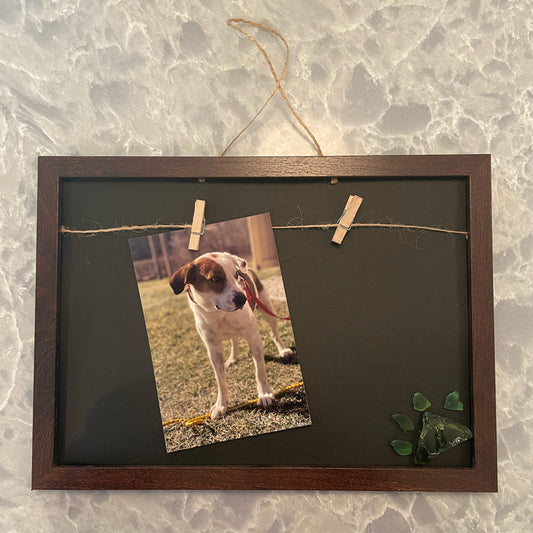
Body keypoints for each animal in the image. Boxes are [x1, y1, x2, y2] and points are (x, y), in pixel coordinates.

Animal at [169, 251, 294, 418]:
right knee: (234, 340)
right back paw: (232, 359)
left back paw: (283, 350)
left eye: (236, 275)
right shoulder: (212, 348)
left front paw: (265, 394)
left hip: (267, 310)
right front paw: (221, 405)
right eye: (215, 279)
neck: (217, 313)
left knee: (274, 334)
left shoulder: (253, 336)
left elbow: (259, 369)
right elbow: (220, 379)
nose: (242, 299)